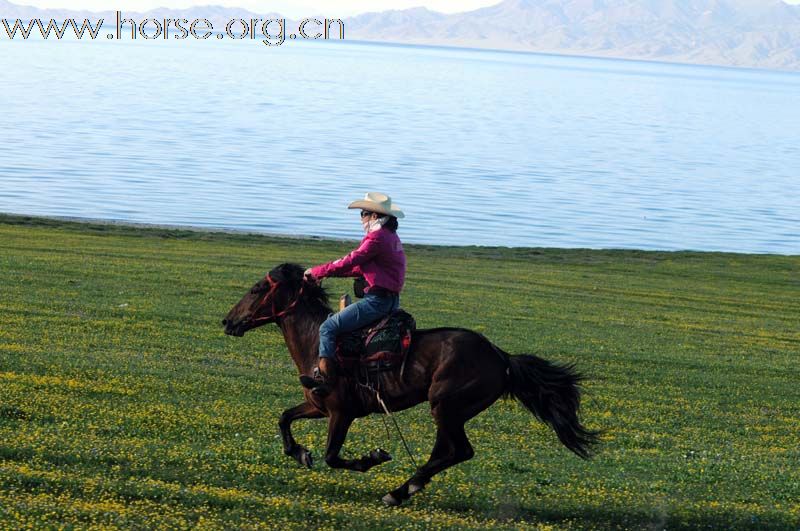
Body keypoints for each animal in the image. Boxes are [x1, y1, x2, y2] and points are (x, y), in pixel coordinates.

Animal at [222, 266, 596, 508]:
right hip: (449, 412)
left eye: (257, 289)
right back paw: (408, 487)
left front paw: (372, 457)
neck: (319, 343)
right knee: (446, 452)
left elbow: (332, 456)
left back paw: (399, 491)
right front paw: (299, 453)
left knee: (459, 451)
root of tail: (501, 356)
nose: (227, 321)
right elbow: (284, 418)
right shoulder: (317, 406)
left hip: (446, 407)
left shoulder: (341, 413)